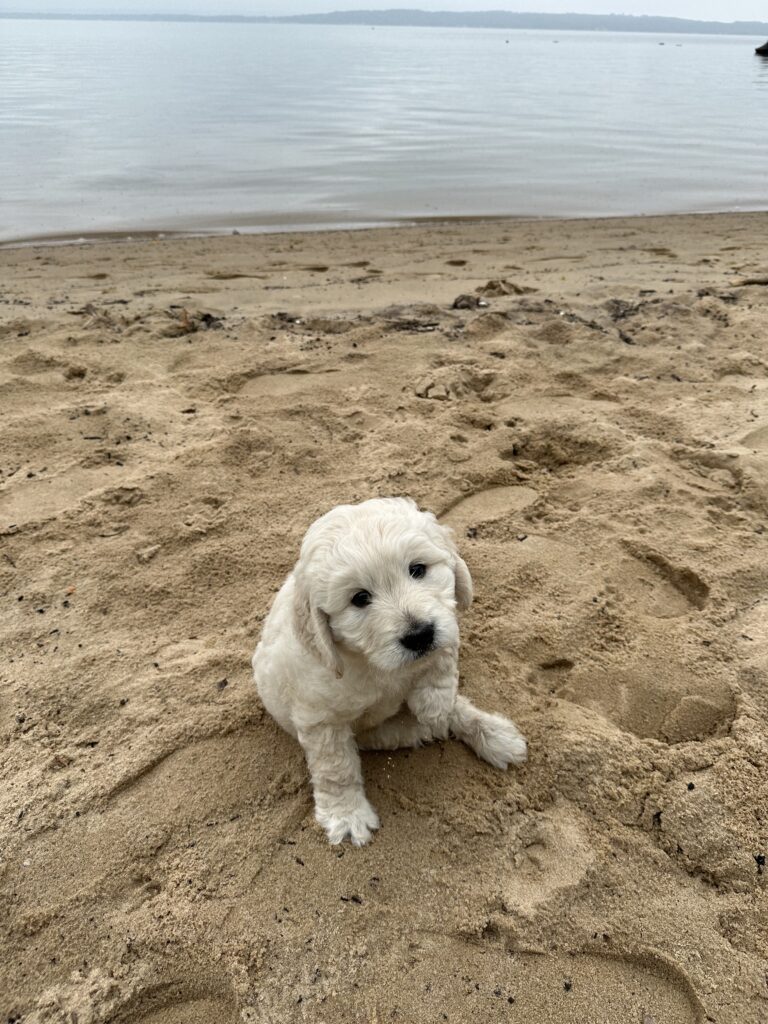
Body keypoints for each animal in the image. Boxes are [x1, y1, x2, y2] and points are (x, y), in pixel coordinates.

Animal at [252, 497, 527, 845]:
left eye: (418, 569)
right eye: (359, 598)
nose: (420, 635)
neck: (373, 664)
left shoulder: (446, 625)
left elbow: (444, 658)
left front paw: (433, 701)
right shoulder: (320, 717)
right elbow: (336, 768)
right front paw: (347, 814)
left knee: (457, 708)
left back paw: (493, 734)